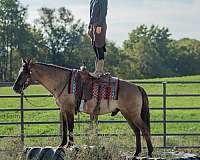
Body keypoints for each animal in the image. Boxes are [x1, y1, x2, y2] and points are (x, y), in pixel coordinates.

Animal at [12, 58, 153, 156]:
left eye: (24, 73)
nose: (15, 87)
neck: (62, 81)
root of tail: (137, 87)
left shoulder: (69, 109)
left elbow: (70, 127)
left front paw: (70, 145)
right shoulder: (63, 109)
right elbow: (64, 128)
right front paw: (61, 145)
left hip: (133, 114)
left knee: (144, 129)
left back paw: (150, 152)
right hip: (127, 114)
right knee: (137, 131)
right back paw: (136, 153)